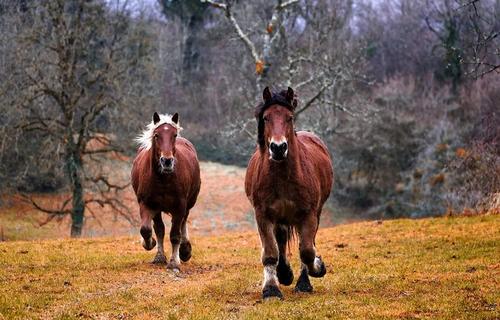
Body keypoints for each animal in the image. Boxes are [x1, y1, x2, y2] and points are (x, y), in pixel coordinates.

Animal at [132, 112, 200, 270]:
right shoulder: (147, 204)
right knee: (159, 228)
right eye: (156, 135)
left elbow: (175, 234)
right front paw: (151, 245)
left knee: (183, 222)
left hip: (188, 203)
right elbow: (147, 229)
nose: (167, 161)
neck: (163, 179)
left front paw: (174, 261)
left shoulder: (180, 206)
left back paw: (185, 250)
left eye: (174, 135)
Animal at [245, 86, 334, 298]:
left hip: (314, 213)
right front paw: (271, 289)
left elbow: (307, 250)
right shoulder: (263, 215)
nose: (278, 148)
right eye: (266, 118)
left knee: (306, 243)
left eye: (290, 117)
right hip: (280, 218)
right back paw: (284, 273)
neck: (283, 177)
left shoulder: (308, 214)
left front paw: (316, 269)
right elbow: (270, 253)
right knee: (281, 240)